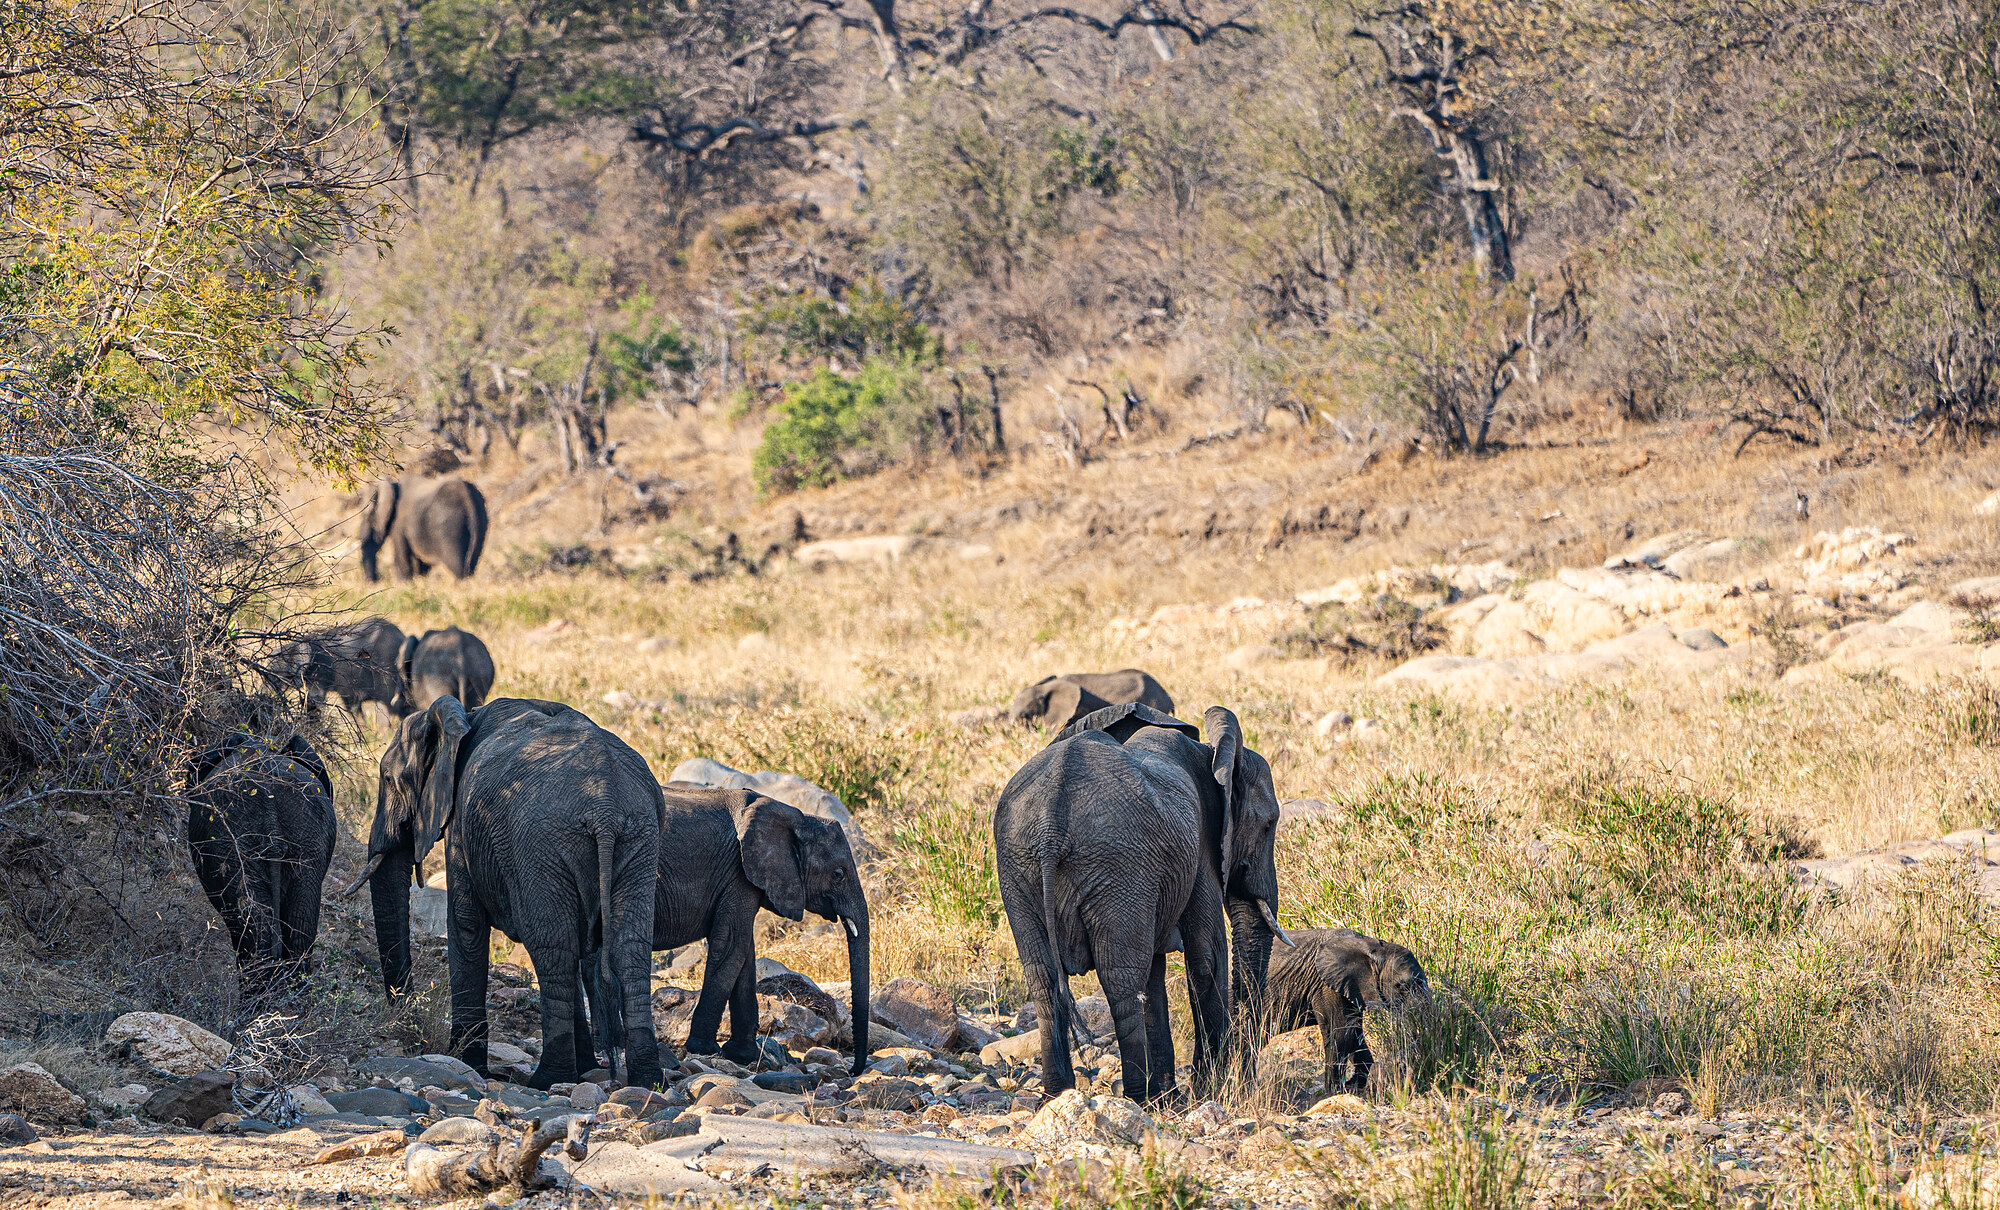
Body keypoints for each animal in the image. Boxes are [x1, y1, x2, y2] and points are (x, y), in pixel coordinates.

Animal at [348, 696, 666, 1090]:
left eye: (389, 779)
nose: (410, 1028)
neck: (463, 719)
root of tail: (605, 809)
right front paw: (585, 1069)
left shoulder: (462, 825)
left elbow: (466, 923)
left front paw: (466, 1063)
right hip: (640, 839)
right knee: (627, 949)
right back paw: (647, 1081)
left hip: (541, 844)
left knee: (552, 946)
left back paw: (547, 1079)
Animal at [359, 478, 488, 583]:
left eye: (367, 517)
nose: (375, 581)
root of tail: (467, 496)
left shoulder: (399, 523)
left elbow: (402, 557)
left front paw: (403, 585)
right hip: (481, 522)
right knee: (471, 562)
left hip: (449, 527)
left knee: (456, 565)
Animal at [586, 785, 872, 1075]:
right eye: (838, 874)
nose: (853, 1070)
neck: (796, 817)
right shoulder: (738, 873)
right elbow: (731, 944)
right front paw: (704, 1049)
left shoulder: (745, 878)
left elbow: (744, 952)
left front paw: (744, 1055)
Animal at [993, 701, 1287, 1104]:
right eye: (1270, 824)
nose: (1245, 1085)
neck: (1214, 755)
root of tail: (1050, 827)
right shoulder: (1200, 851)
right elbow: (1207, 956)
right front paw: (1206, 1092)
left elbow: (1156, 972)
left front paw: (1174, 1097)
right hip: (1116, 865)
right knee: (1121, 982)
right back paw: (1137, 1097)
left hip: (1020, 869)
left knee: (1044, 981)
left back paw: (1057, 1096)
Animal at [1265, 929, 1430, 1092]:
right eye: (1402, 986)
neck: (1373, 947)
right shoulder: (1328, 986)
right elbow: (1339, 1034)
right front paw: (1335, 1091)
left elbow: (1354, 1035)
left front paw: (1353, 1085)